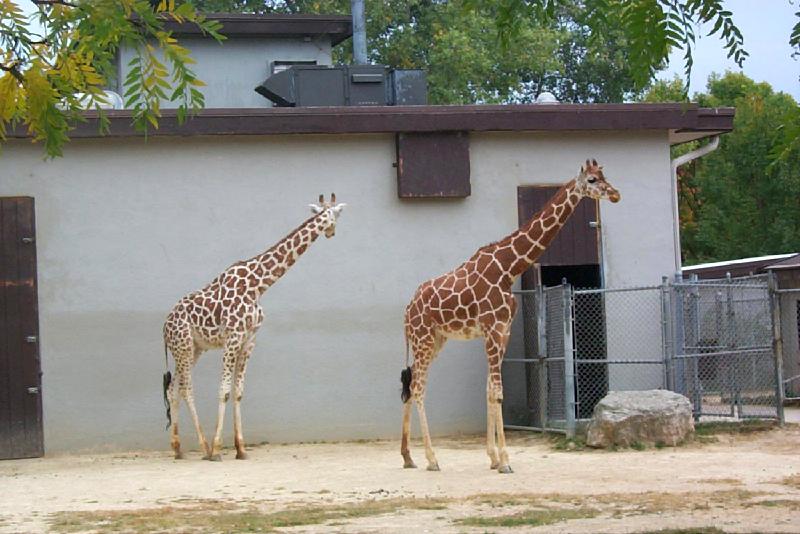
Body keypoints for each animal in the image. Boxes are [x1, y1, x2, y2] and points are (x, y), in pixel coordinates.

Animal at [163, 195, 346, 462]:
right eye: (335, 216)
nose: (332, 233)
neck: (258, 285)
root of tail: (164, 327)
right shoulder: (233, 337)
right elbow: (224, 390)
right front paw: (218, 449)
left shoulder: (249, 340)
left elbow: (238, 391)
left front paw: (241, 449)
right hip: (184, 346)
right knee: (186, 388)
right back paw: (205, 447)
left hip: (194, 349)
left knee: (172, 388)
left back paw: (177, 448)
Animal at [404, 159, 620, 474]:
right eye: (592, 180)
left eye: (604, 175)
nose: (615, 194)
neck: (509, 268)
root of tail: (407, 309)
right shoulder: (492, 329)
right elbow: (497, 391)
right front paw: (505, 461)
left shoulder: (502, 330)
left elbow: (488, 390)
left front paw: (493, 457)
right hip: (422, 339)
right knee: (418, 388)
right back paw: (431, 459)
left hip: (436, 340)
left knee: (410, 385)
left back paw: (407, 456)